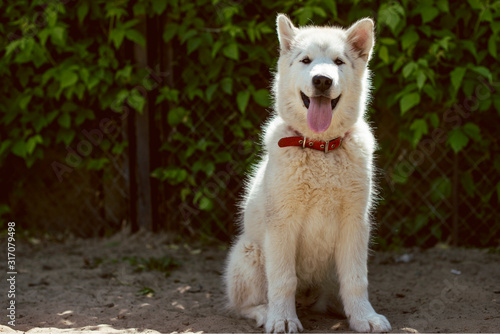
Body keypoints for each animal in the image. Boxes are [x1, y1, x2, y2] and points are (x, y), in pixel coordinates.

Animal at [225, 14, 392, 332]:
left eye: (339, 62)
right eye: (306, 60)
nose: (322, 80)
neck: (320, 148)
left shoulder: (355, 222)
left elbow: (356, 279)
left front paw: (364, 317)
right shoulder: (282, 223)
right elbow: (283, 279)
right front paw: (282, 319)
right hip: (249, 253)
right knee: (242, 305)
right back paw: (265, 312)